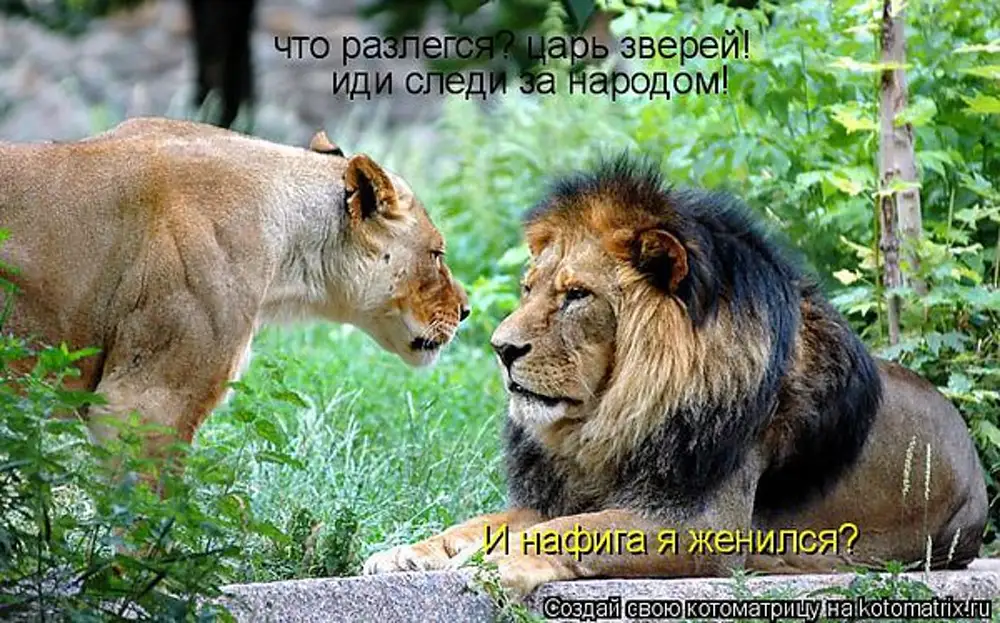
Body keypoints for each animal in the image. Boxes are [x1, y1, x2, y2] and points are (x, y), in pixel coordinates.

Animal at [362, 155, 988, 597]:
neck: (611, 415)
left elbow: (572, 531)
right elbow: (485, 521)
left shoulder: (703, 524)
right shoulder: (578, 490)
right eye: (528, 289)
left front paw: (494, 563)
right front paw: (410, 554)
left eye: (576, 295)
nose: (500, 348)